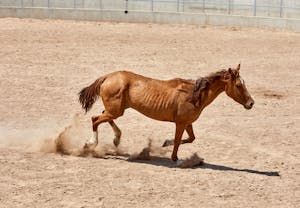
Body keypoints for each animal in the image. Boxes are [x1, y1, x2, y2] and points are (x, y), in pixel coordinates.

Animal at [79, 64, 253, 162]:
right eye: (238, 85)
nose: (251, 103)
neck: (193, 95)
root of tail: (108, 76)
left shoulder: (187, 123)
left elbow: (191, 139)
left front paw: (166, 144)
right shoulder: (180, 123)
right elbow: (178, 141)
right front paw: (174, 158)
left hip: (115, 110)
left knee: (102, 117)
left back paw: (116, 139)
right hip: (115, 111)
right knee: (95, 119)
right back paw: (90, 144)